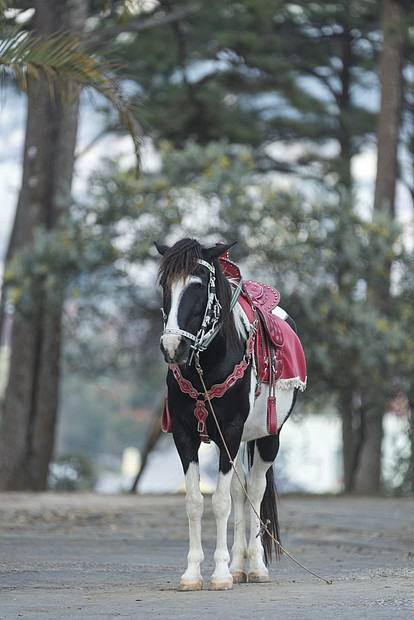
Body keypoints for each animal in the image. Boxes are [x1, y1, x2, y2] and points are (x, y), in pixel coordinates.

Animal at [154, 236, 306, 592]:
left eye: (198, 285)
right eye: (165, 284)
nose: (172, 347)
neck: (206, 368)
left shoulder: (231, 430)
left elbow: (220, 502)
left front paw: (220, 574)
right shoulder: (184, 434)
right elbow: (195, 502)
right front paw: (193, 573)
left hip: (267, 438)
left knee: (255, 491)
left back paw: (256, 566)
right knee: (241, 492)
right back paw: (239, 565)